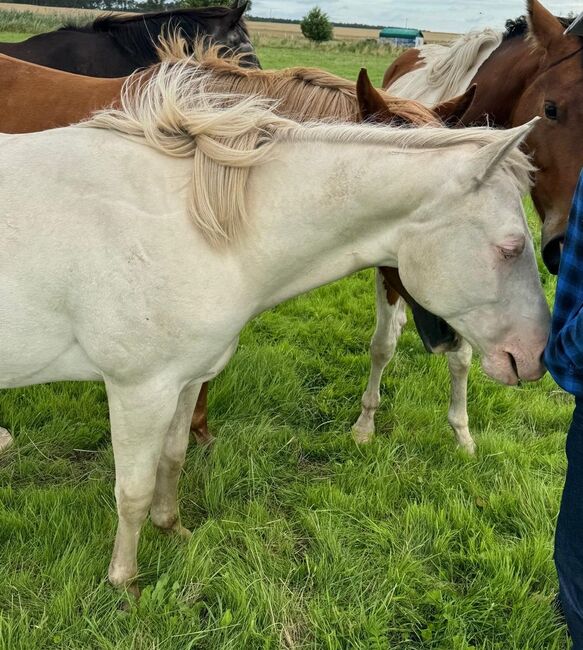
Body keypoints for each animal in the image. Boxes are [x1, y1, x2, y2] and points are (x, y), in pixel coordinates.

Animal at [0, 62, 548, 592]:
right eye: (511, 247)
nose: (536, 356)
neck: (195, 226)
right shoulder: (139, 390)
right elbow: (131, 491)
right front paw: (125, 582)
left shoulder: (185, 379)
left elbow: (172, 457)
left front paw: (172, 528)